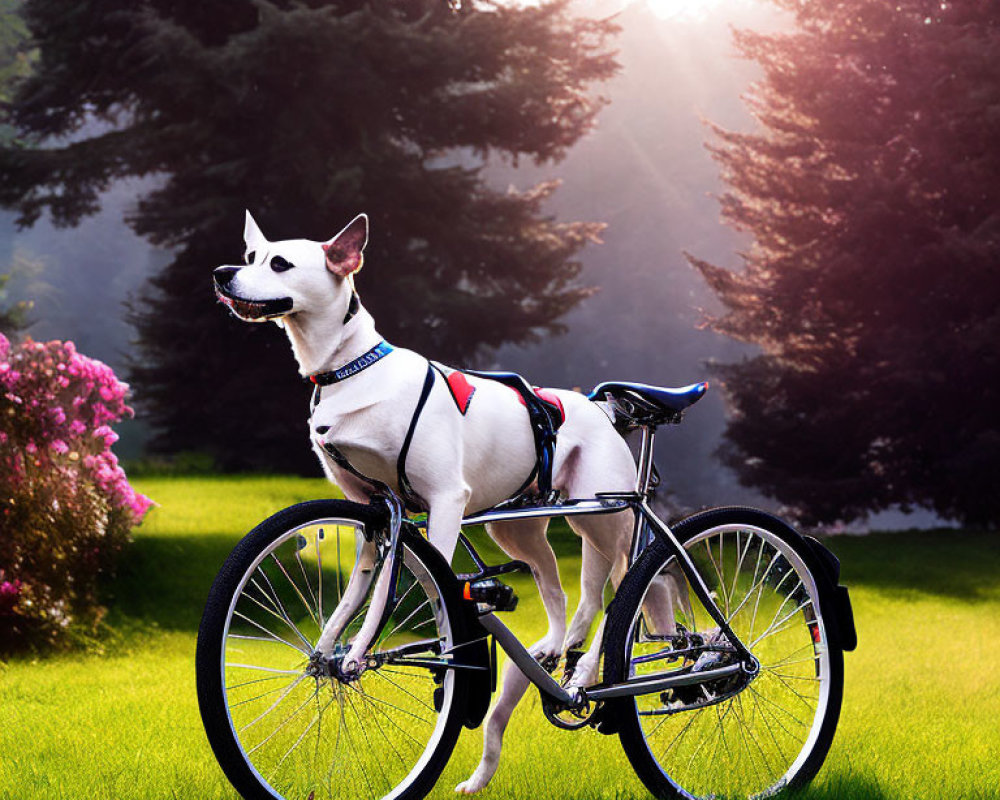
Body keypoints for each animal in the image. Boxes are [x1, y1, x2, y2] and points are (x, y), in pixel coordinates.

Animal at [213, 212, 672, 792]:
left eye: (279, 263)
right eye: (250, 256)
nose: (222, 273)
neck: (349, 368)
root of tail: (600, 409)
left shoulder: (444, 503)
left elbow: (398, 598)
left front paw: (360, 656)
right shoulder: (372, 511)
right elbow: (354, 598)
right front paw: (332, 653)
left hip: (606, 514)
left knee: (630, 584)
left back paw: (595, 670)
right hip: (518, 529)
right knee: (565, 592)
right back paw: (553, 650)